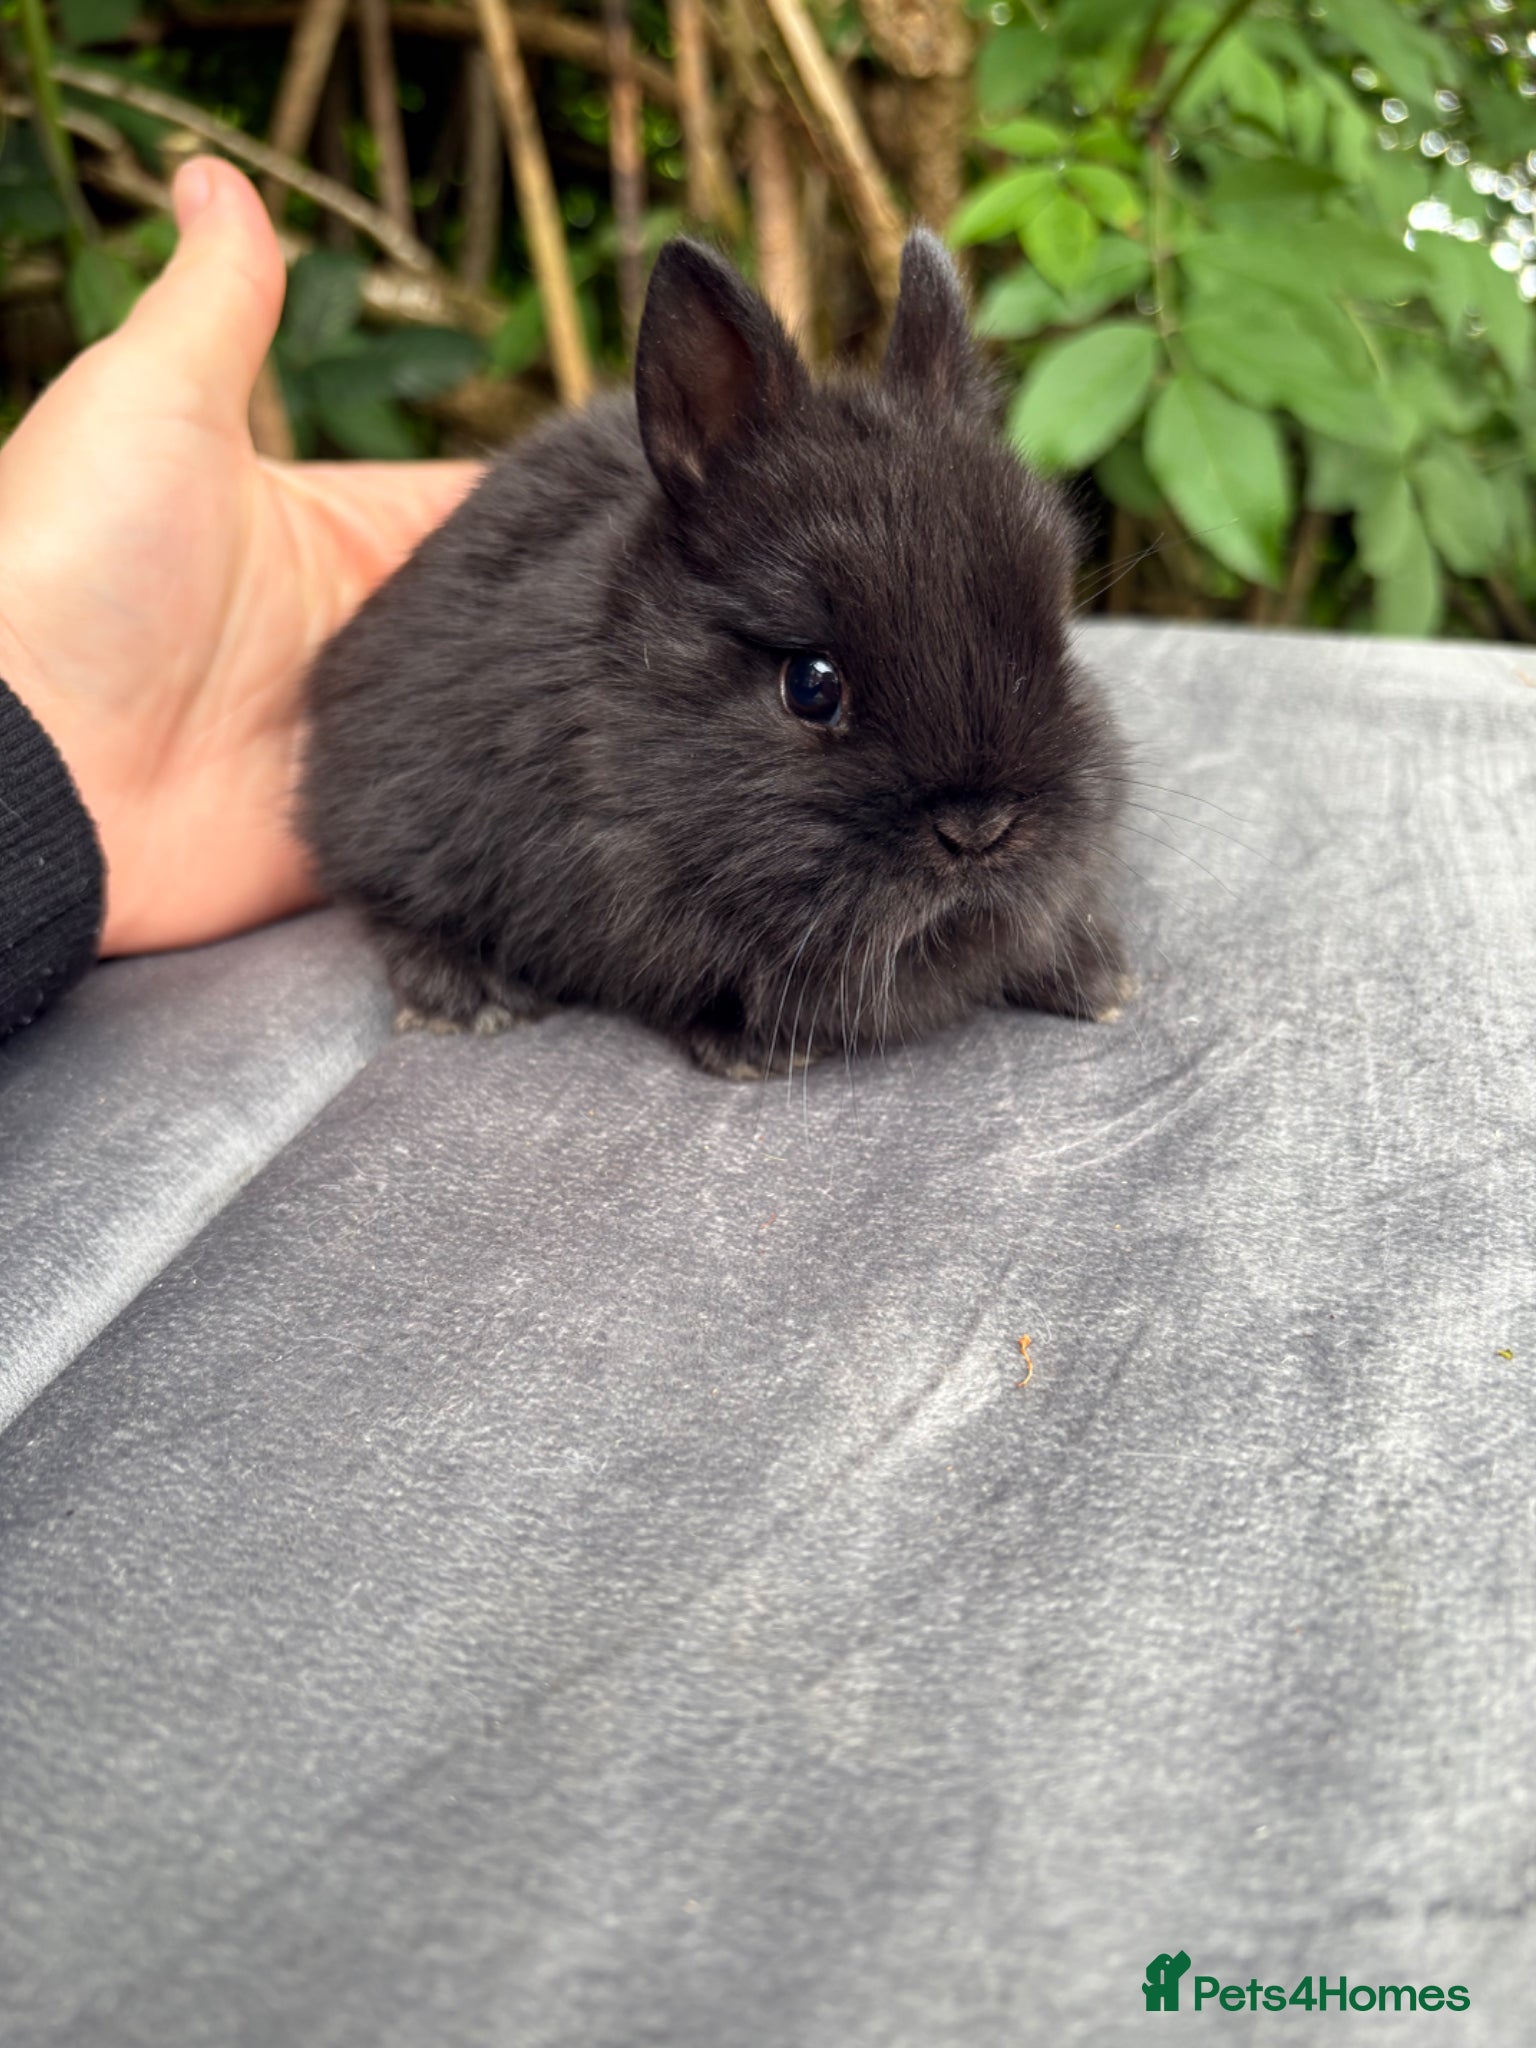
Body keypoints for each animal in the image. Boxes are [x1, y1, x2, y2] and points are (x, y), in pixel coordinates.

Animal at [297, 227, 1131, 1080]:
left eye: (1055, 639)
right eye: (811, 685)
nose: (980, 831)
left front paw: (1099, 980)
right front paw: (752, 1051)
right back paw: (469, 995)